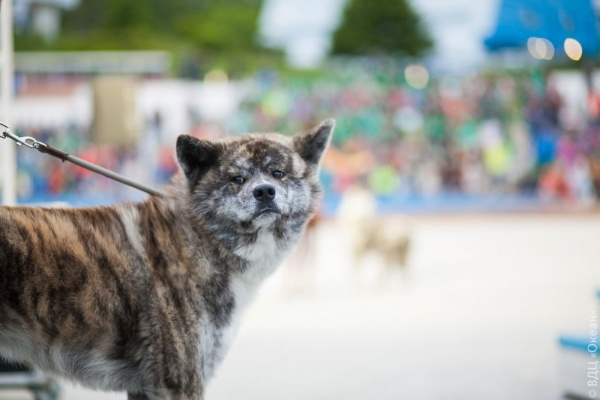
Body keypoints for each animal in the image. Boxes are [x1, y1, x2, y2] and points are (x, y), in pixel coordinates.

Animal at [0, 119, 335, 400]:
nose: (264, 191)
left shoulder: (145, 387)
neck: (200, 237)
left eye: (278, 173)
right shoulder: (177, 380)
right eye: (237, 179)